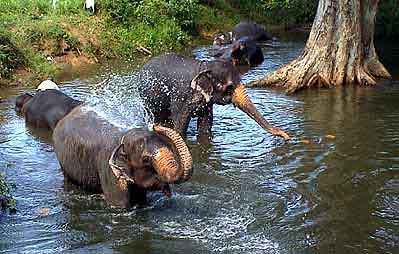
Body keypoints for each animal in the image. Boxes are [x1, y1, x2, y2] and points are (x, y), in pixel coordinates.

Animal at [53, 105, 194, 208]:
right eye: (146, 160)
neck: (123, 137)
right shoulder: (109, 170)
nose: (155, 125)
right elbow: (120, 205)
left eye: (169, 147)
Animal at [136, 53, 290, 140]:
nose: (287, 137)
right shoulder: (181, 96)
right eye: (229, 87)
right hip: (146, 97)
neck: (204, 66)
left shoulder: (207, 102)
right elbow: (180, 124)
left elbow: (206, 124)